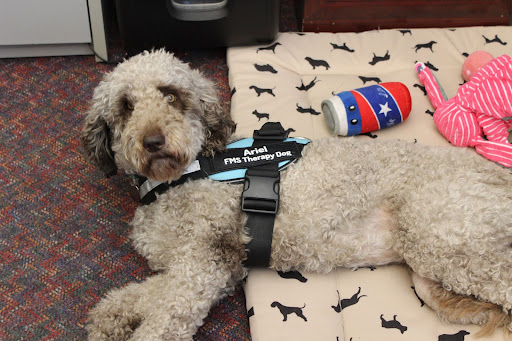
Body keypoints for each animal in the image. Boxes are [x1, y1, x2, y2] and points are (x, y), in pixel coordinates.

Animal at [83, 49, 512, 338]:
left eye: (170, 94)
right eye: (126, 106)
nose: (153, 141)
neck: (184, 173)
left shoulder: (206, 262)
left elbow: (163, 316)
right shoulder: (197, 268)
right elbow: (138, 297)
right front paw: (110, 319)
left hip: (444, 241)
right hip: (435, 269)